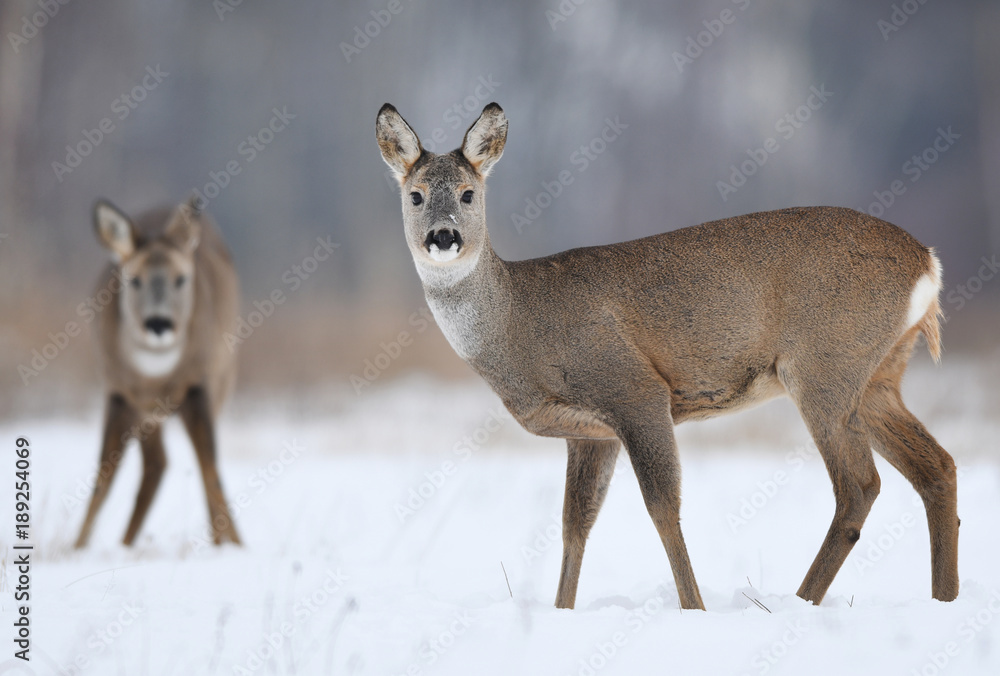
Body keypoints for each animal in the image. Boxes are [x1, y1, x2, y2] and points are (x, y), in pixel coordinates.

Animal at [74, 198, 243, 548]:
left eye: (181, 278)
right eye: (135, 279)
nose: (158, 324)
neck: (154, 377)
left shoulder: (199, 385)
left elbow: (212, 472)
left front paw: (234, 546)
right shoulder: (118, 392)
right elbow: (101, 480)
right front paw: (75, 548)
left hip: (224, 377)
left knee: (191, 465)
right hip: (148, 412)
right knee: (157, 463)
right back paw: (126, 543)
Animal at [375, 101, 959, 610]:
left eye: (469, 194)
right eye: (416, 195)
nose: (443, 237)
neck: (521, 327)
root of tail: (926, 261)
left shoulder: (635, 389)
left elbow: (661, 507)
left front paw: (693, 608)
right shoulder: (589, 431)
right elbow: (575, 522)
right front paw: (562, 612)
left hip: (823, 366)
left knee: (859, 485)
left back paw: (800, 601)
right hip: (877, 375)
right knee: (937, 467)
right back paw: (943, 600)